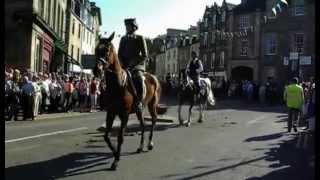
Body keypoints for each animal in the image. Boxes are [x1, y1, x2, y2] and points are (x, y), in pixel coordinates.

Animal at [94, 32, 160, 170]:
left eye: (107, 50)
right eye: (96, 49)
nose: (97, 70)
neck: (117, 85)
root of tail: (153, 76)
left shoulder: (124, 114)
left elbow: (120, 137)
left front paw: (116, 160)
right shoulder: (111, 112)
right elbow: (106, 136)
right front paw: (115, 153)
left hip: (152, 104)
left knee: (153, 120)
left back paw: (150, 143)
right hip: (139, 109)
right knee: (143, 124)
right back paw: (140, 147)